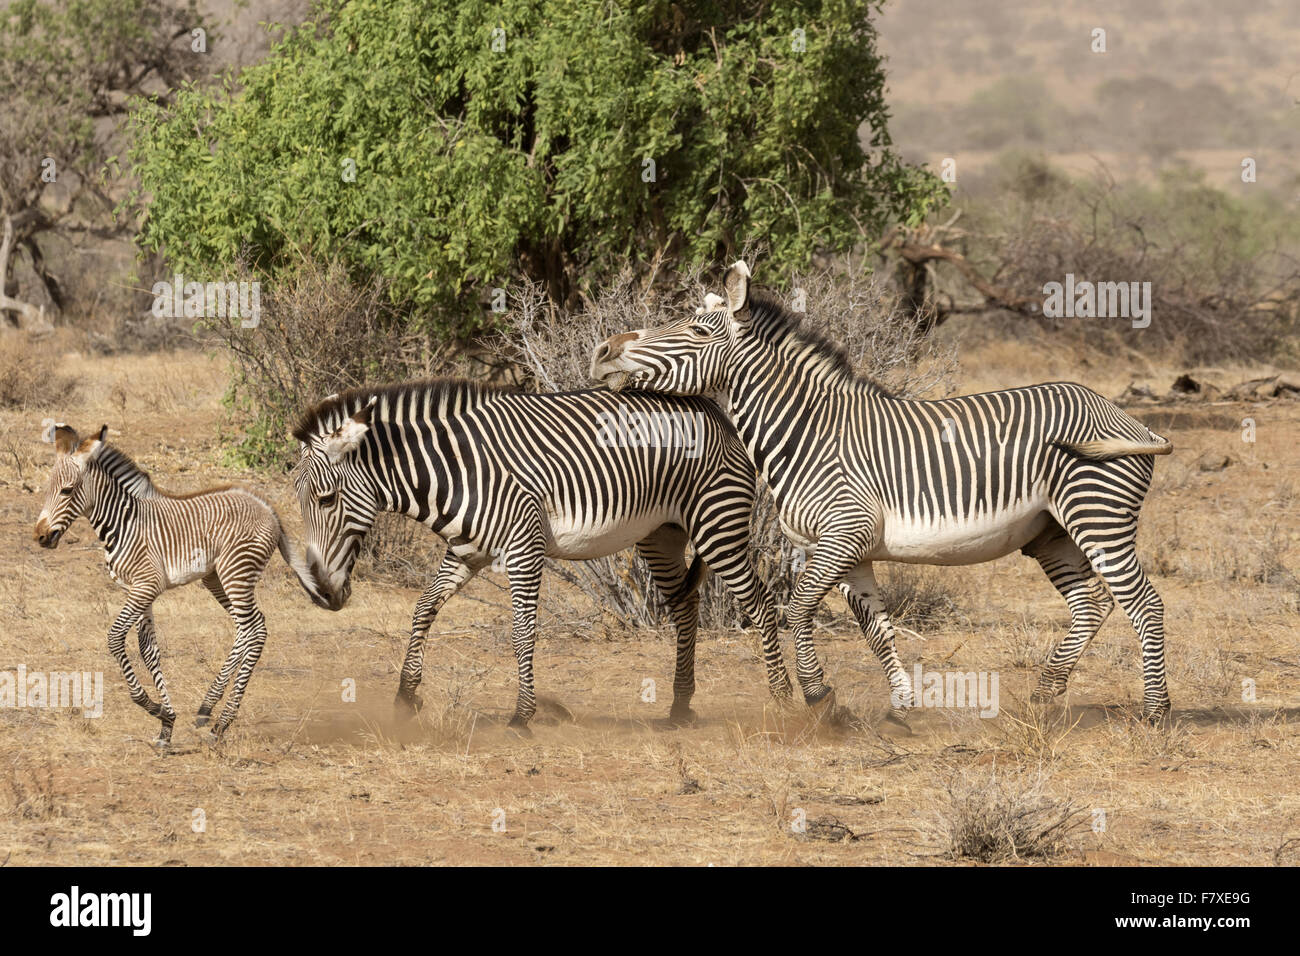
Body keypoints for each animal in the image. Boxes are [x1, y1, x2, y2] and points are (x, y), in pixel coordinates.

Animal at [33, 424, 322, 745]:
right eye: (47, 490)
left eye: (67, 490)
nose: (40, 537)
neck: (123, 523)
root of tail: (267, 507)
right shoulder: (138, 590)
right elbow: (148, 649)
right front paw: (166, 723)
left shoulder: (145, 586)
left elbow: (115, 639)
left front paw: (154, 708)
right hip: (216, 577)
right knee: (249, 628)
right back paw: (208, 708)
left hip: (236, 572)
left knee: (254, 629)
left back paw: (221, 721)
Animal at [289, 378, 792, 729]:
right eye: (298, 500)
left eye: (327, 500)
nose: (321, 595)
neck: (458, 472)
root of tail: (715, 410)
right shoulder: (468, 551)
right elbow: (424, 609)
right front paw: (406, 696)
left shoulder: (524, 546)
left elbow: (522, 632)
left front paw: (522, 714)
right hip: (660, 535)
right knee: (687, 608)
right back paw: (680, 707)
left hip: (717, 524)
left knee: (762, 605)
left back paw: (788, 699)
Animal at [592, 261, 1175, 722]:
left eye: (692, 329)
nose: (602, 351)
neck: (808, 431)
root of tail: (1125, 415)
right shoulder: (847, 549)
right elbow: (877, 630)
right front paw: (902, 709)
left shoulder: (843, 534)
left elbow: (797, 609)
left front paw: (818, 695)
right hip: (1051, 532)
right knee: (1092, 605)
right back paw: (1045, 695)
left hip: (1097, 516)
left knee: (1144, 604)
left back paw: (1155, 712)